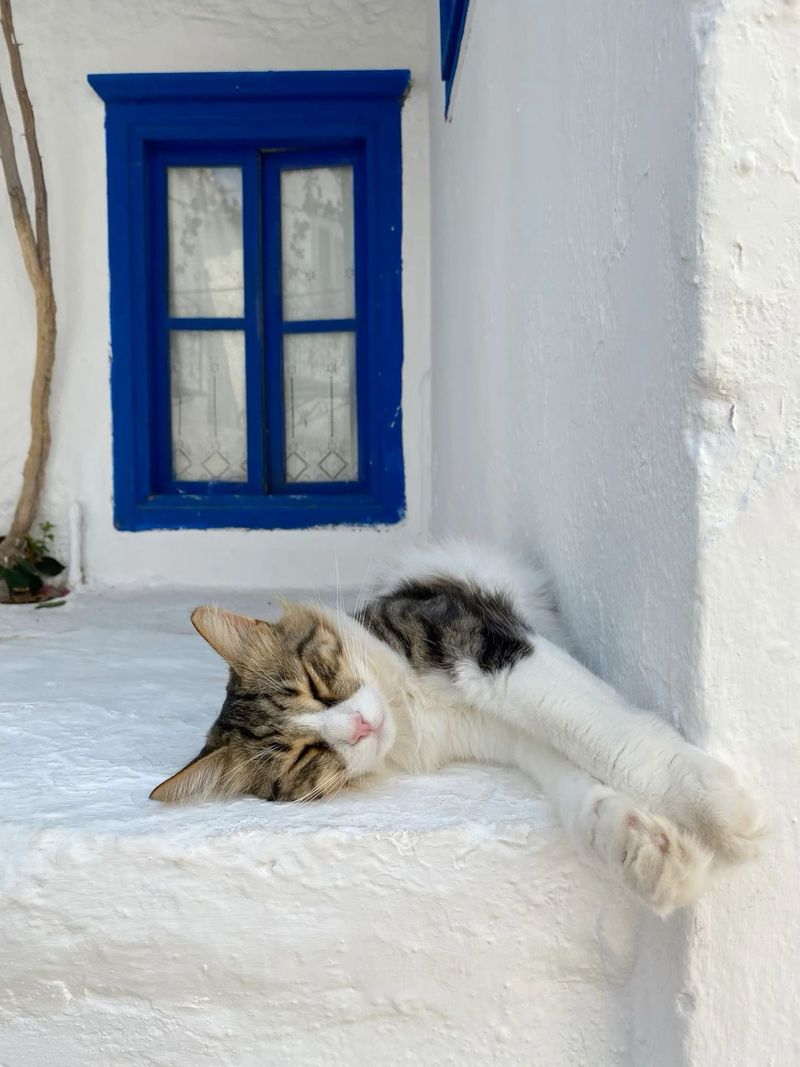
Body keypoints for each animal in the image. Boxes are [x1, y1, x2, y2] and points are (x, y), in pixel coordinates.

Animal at [149, 546, 763, 913]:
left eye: (318, 685)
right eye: (305, 756)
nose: (361, 725)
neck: (409, 708)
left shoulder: (480, 644)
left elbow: (605, 733)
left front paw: (719, 809)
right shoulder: (508, 736)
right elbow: (581, 782)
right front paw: (652, 854)